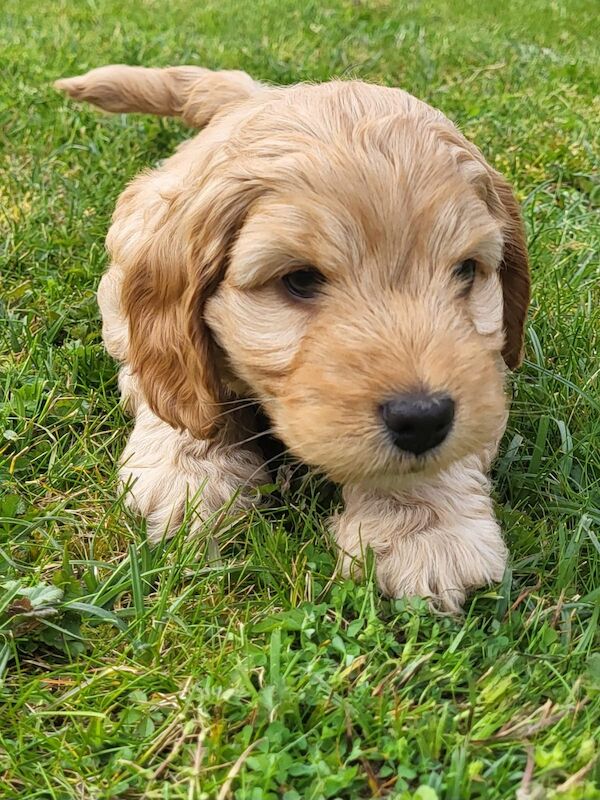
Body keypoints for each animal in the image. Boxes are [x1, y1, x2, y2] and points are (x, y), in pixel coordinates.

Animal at [54, 65, 528, 612]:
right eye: (299, 280)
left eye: (466, 270)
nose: (424, 417)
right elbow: (184, 386)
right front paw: (192, 474)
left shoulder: (485, 374)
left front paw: (424, 530)